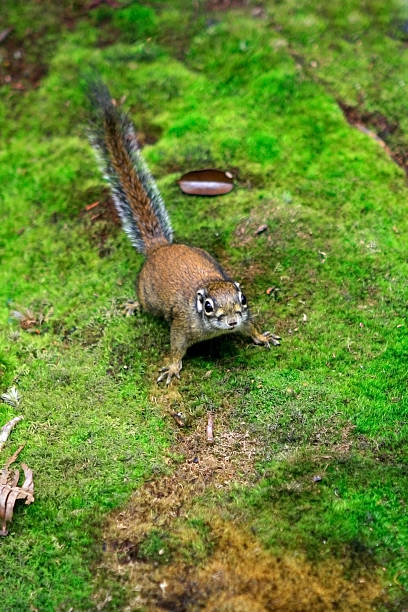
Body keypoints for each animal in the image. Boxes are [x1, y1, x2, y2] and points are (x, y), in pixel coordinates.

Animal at [88, 81, 280, 382]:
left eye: (243, 298)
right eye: (209, 306)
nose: (232, 321)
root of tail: (160, 247)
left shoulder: (245, 317)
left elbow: (251, 327)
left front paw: (262, 337)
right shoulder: (181, 325)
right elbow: (176, 348)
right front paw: (172, 366)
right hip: (147, 294)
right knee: (144, 303)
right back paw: (134, 306)